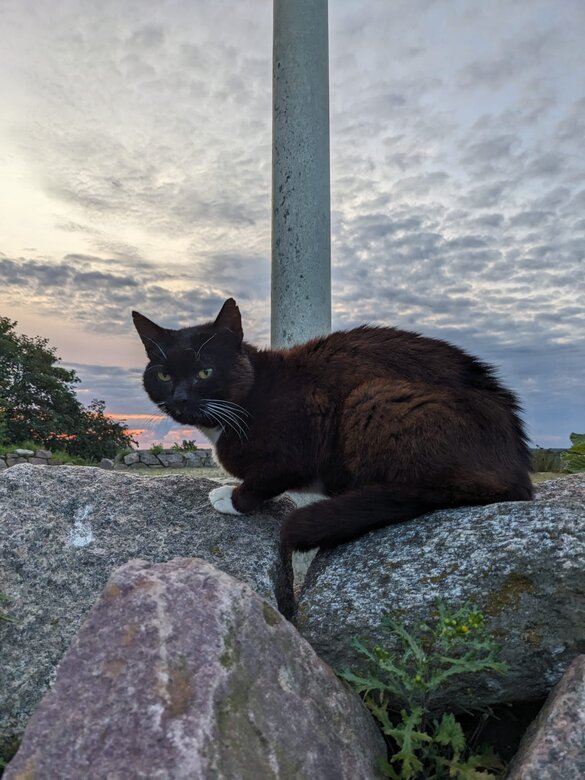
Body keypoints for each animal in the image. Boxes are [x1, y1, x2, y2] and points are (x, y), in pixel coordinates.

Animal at [133, 298, 532, 548]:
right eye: (165, 375)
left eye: (205, 371)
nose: (181, 398)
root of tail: (516, 471)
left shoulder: (308, 426)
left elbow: (270, 477)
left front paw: (230, 497)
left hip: (372, 397)